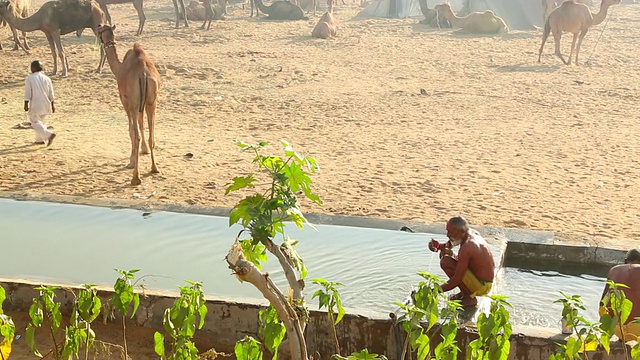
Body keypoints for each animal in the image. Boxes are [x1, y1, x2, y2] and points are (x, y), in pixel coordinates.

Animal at [98, 24, 162, 186]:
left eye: (101, 30)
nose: (98, 25)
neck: (119, 68)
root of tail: (144, 74)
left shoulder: (126, 101)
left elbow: (131, 131)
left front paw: (131, 161)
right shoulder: (141, 104)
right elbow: (141, 124)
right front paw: (144, 150)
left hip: (133, 103)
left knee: (136, 134)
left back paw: (135, 177)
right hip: (152, 101)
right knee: (152, 134)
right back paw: (154, 168)